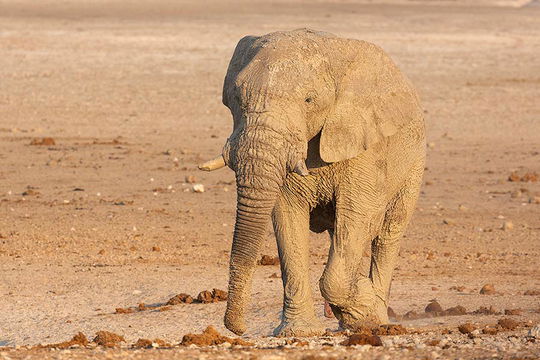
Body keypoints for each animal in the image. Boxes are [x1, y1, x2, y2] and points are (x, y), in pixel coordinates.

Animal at [198, 28, 426, 338]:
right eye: (235, 98)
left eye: (309, 100)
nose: (239, 329)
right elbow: (287, 218)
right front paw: (298, 333)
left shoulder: (365, 146)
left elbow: (356, 215)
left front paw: (365, 310)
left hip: (414, 162)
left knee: (387, 233)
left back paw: (376, 317)